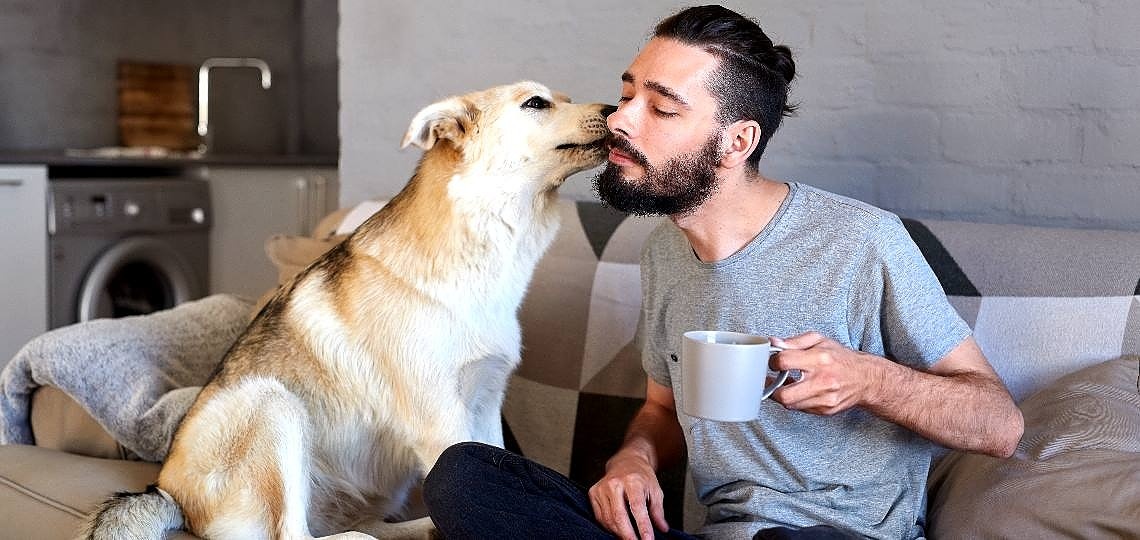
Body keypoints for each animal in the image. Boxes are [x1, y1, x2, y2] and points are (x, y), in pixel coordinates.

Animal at [85, 81, 620, 540]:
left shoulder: (486, 404)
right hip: (272, 402)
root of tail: (165, 492)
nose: (615, 109)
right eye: (536, 103)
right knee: (295, 534)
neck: (482, 244)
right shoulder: (443, 423)